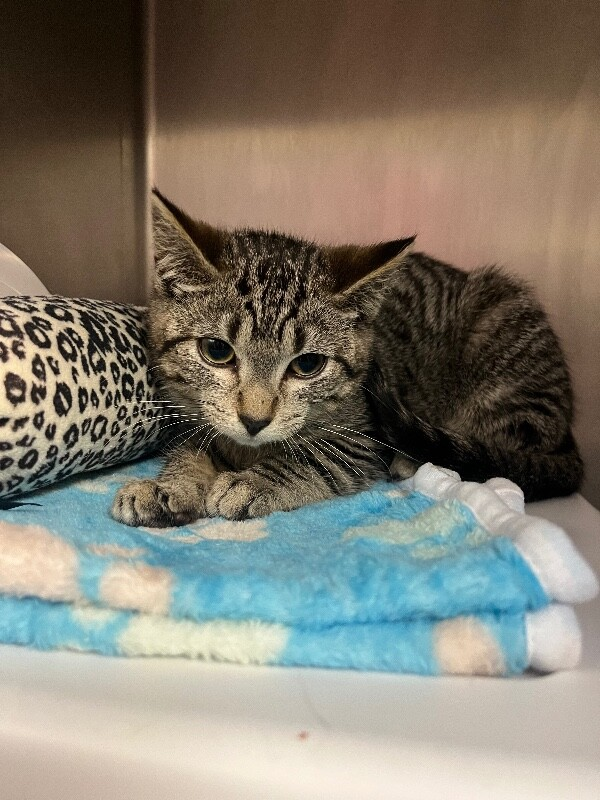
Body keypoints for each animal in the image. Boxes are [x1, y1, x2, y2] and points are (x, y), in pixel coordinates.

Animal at [111, 189, 583, 527]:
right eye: (216, 351)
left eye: (307, 366)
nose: (255, 420)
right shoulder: (188, 415)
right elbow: (191, 449)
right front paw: (168, 487)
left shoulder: (361, 437)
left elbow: (312, 460)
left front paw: (252, 481)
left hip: (502, 330)